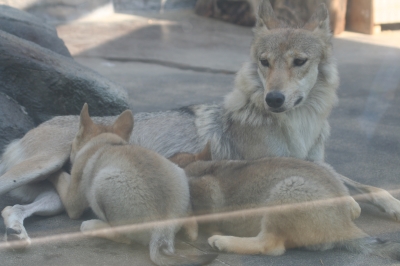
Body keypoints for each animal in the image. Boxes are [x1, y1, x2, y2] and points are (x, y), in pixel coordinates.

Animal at [0, 0, 400, 247]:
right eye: (265, 62)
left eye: (299, 61)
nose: (273, 98)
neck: (296, 127)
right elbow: (349, 192)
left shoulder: (315, 163)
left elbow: (363, 185)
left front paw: (391, 203)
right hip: (38, 168)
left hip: (56, 197)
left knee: (13, 208)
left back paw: (16, 231)